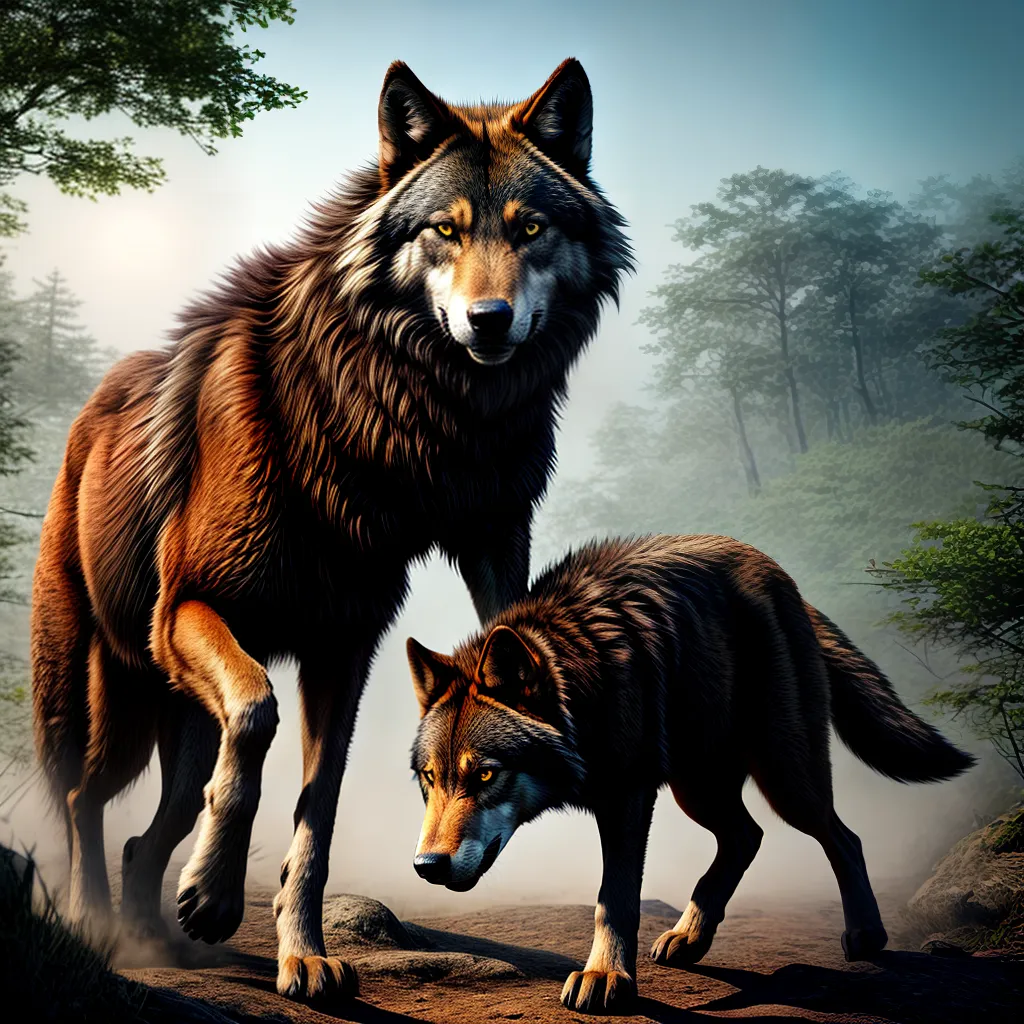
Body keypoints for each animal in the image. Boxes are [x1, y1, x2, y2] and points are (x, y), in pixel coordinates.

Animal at [31, 58, 631, 1005]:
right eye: (446, 231)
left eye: (530, 228)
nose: (489, 320)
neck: (391, 428)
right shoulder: (190, 611)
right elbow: (256, 716)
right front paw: (213, 896)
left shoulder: (352, 644)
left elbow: (317, 816)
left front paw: (301, 955)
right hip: (100, 698)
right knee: (84, 801)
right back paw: (103, 929)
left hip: (172, 725)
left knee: (144, 833)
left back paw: (151, 935)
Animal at [406, 534, 974, 1013]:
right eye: (430, 779)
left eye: (485, 775)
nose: (427, 866)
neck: (586, 677)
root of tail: (773, 568)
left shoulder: (628, 796)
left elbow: (614, 899)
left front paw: (606, 976)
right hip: (696, 788)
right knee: (748, 836)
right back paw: (691, 937)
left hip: (784, 779)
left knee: (843, 837)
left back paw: (866, 936)